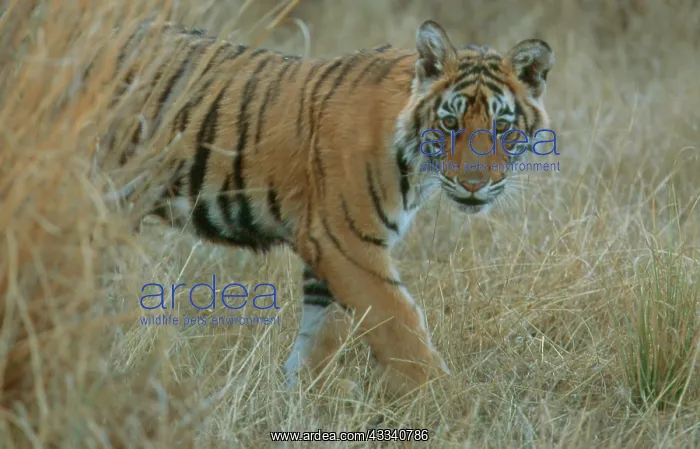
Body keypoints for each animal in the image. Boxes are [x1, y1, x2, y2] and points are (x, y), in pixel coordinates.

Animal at [103, 18, 554, 397]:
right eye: (449, 124)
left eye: (501, 127)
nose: (473, 184)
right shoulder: (344, 240)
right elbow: (399, 323)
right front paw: (445, 399)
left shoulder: (328, 249)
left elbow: (323, 332)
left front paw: (303, 395)